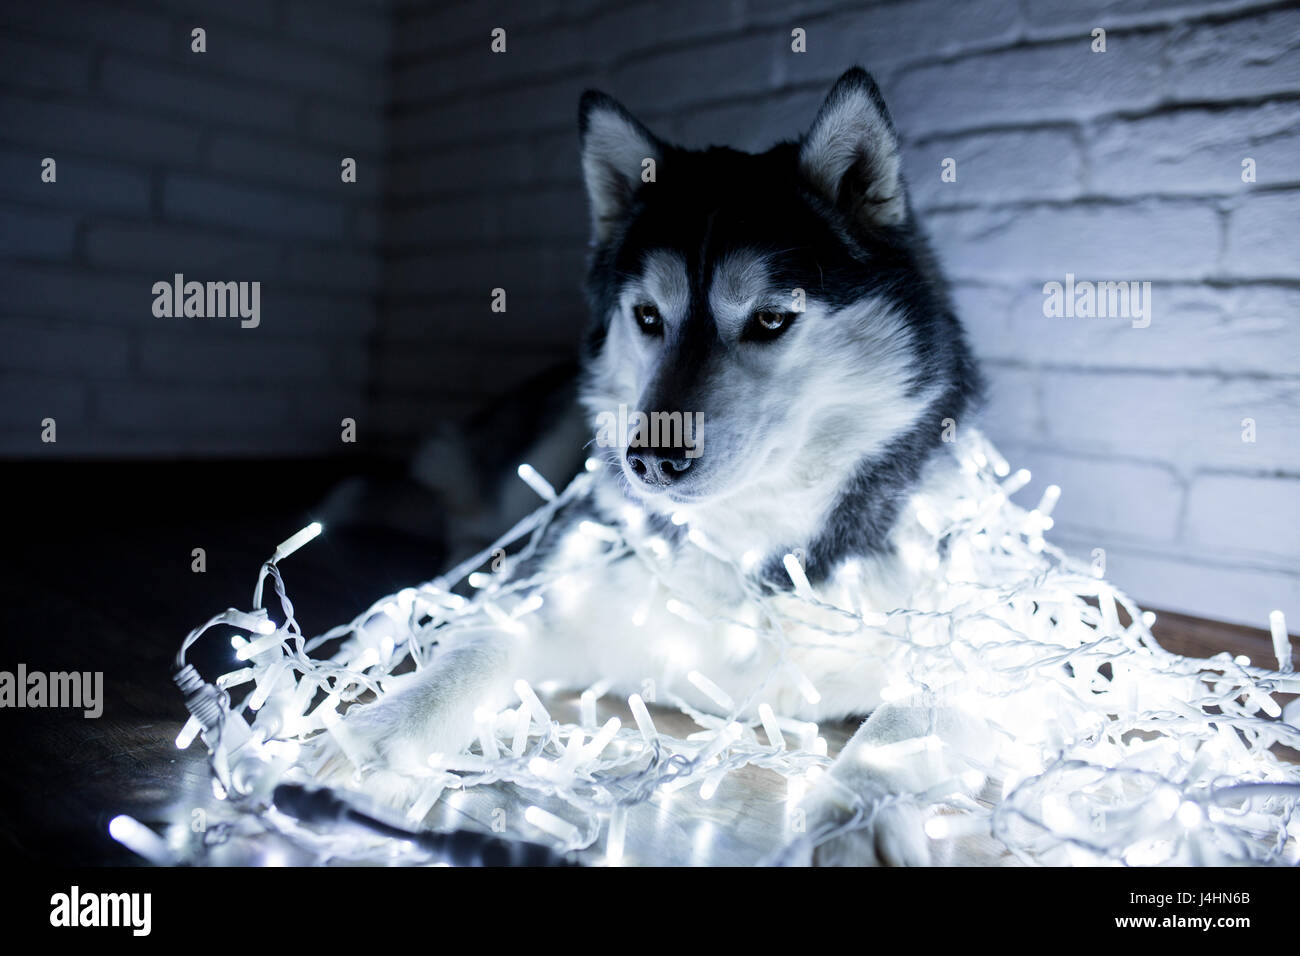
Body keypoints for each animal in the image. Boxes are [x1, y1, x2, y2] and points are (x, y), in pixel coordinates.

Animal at [322, 67, 982, 868]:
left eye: (770, 318)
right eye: (646, 317)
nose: (649, 460)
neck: (749, 546)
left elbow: (904, 724)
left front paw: (851, 825)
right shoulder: (555, 591)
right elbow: (473, 646)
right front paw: (376, 737)